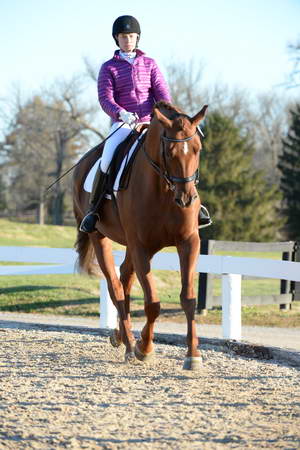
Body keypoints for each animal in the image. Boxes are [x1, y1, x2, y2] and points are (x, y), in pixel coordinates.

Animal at [73, 102, 209, 370]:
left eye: (197, 149)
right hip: (100, 237)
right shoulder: (141, 247)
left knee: (125, 279)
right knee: (116, 288)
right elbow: (152, 303)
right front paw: (144, 348)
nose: (187, 199)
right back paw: (128, 344)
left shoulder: (188, 242)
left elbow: (188, 298)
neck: (164, 190)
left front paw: (193, 355)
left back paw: (120, 337)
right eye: (170, 152)